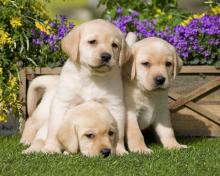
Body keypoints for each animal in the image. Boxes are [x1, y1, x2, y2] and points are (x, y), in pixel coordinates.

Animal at [32, 18, 129, 154]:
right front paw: (51, 148)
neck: (92, 77)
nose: (106, 56)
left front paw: (119, 150)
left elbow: (118, 132)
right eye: (92, 42)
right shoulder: (63, 103)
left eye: (114, 45)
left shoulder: (115, 105)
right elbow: (54, 129)